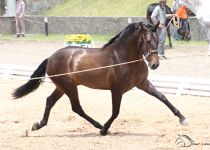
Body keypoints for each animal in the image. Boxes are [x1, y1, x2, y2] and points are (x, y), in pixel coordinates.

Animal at [12, 21, 187, 136]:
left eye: (157, 40)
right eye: (148, 40)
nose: (155, 64)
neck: (123, 57)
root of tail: (51, 57)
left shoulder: (142, 83)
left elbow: (163, 97)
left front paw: (183, 119)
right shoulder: (116, 90)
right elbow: (116, 111)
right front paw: (104, 130)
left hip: (62, 87)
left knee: (50, 101)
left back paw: (38, 125)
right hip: (69, 87)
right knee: (76, 107)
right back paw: (98, 125)